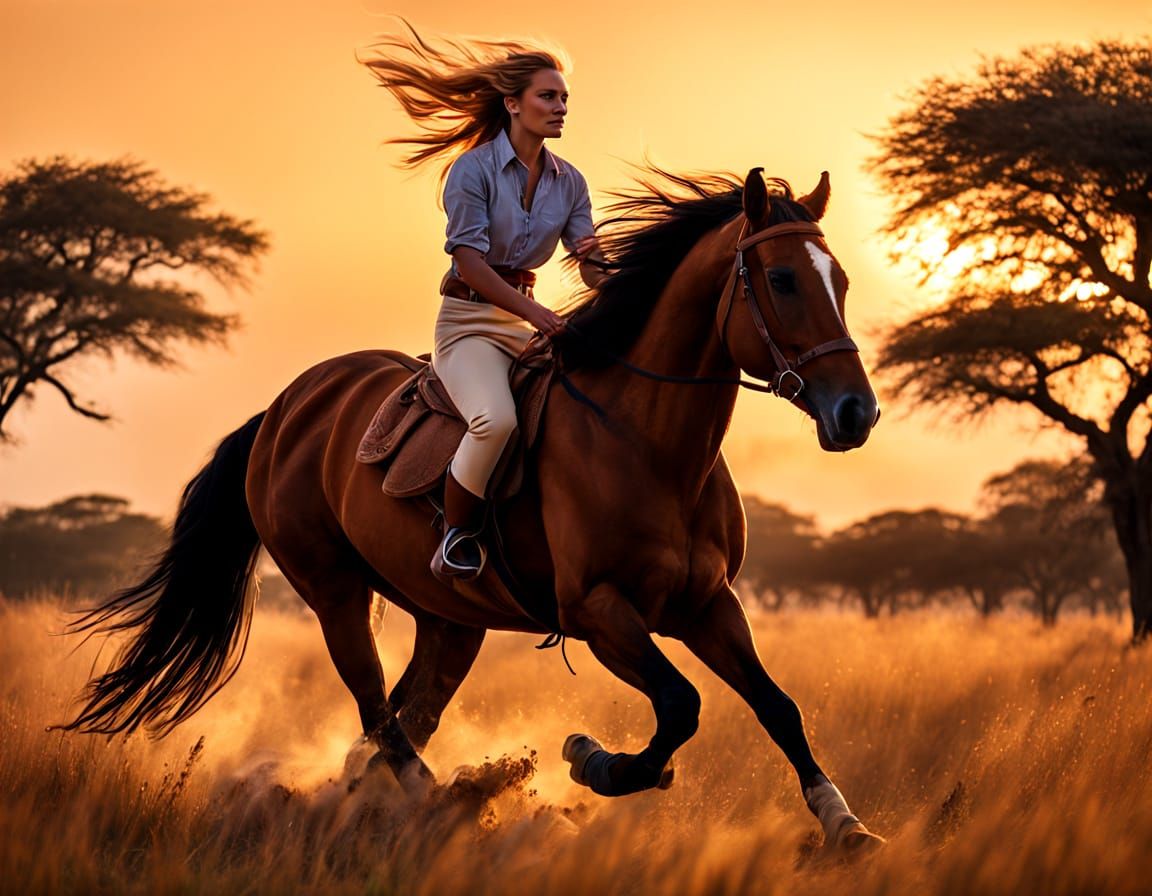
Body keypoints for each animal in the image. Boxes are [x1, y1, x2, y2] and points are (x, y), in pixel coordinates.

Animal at [60, 167, 883, 851]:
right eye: (781, 279)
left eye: (840, 281)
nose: (856, 413)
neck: (648, 443)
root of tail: (288, 408)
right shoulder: (600, 614)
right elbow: (680, 706)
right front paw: (593, 761)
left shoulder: (708, 604)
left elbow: (777, 707)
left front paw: (844, 824)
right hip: (335, 594)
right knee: (378, 712)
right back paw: (436, 803)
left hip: (450, 622)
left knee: (400, 715)